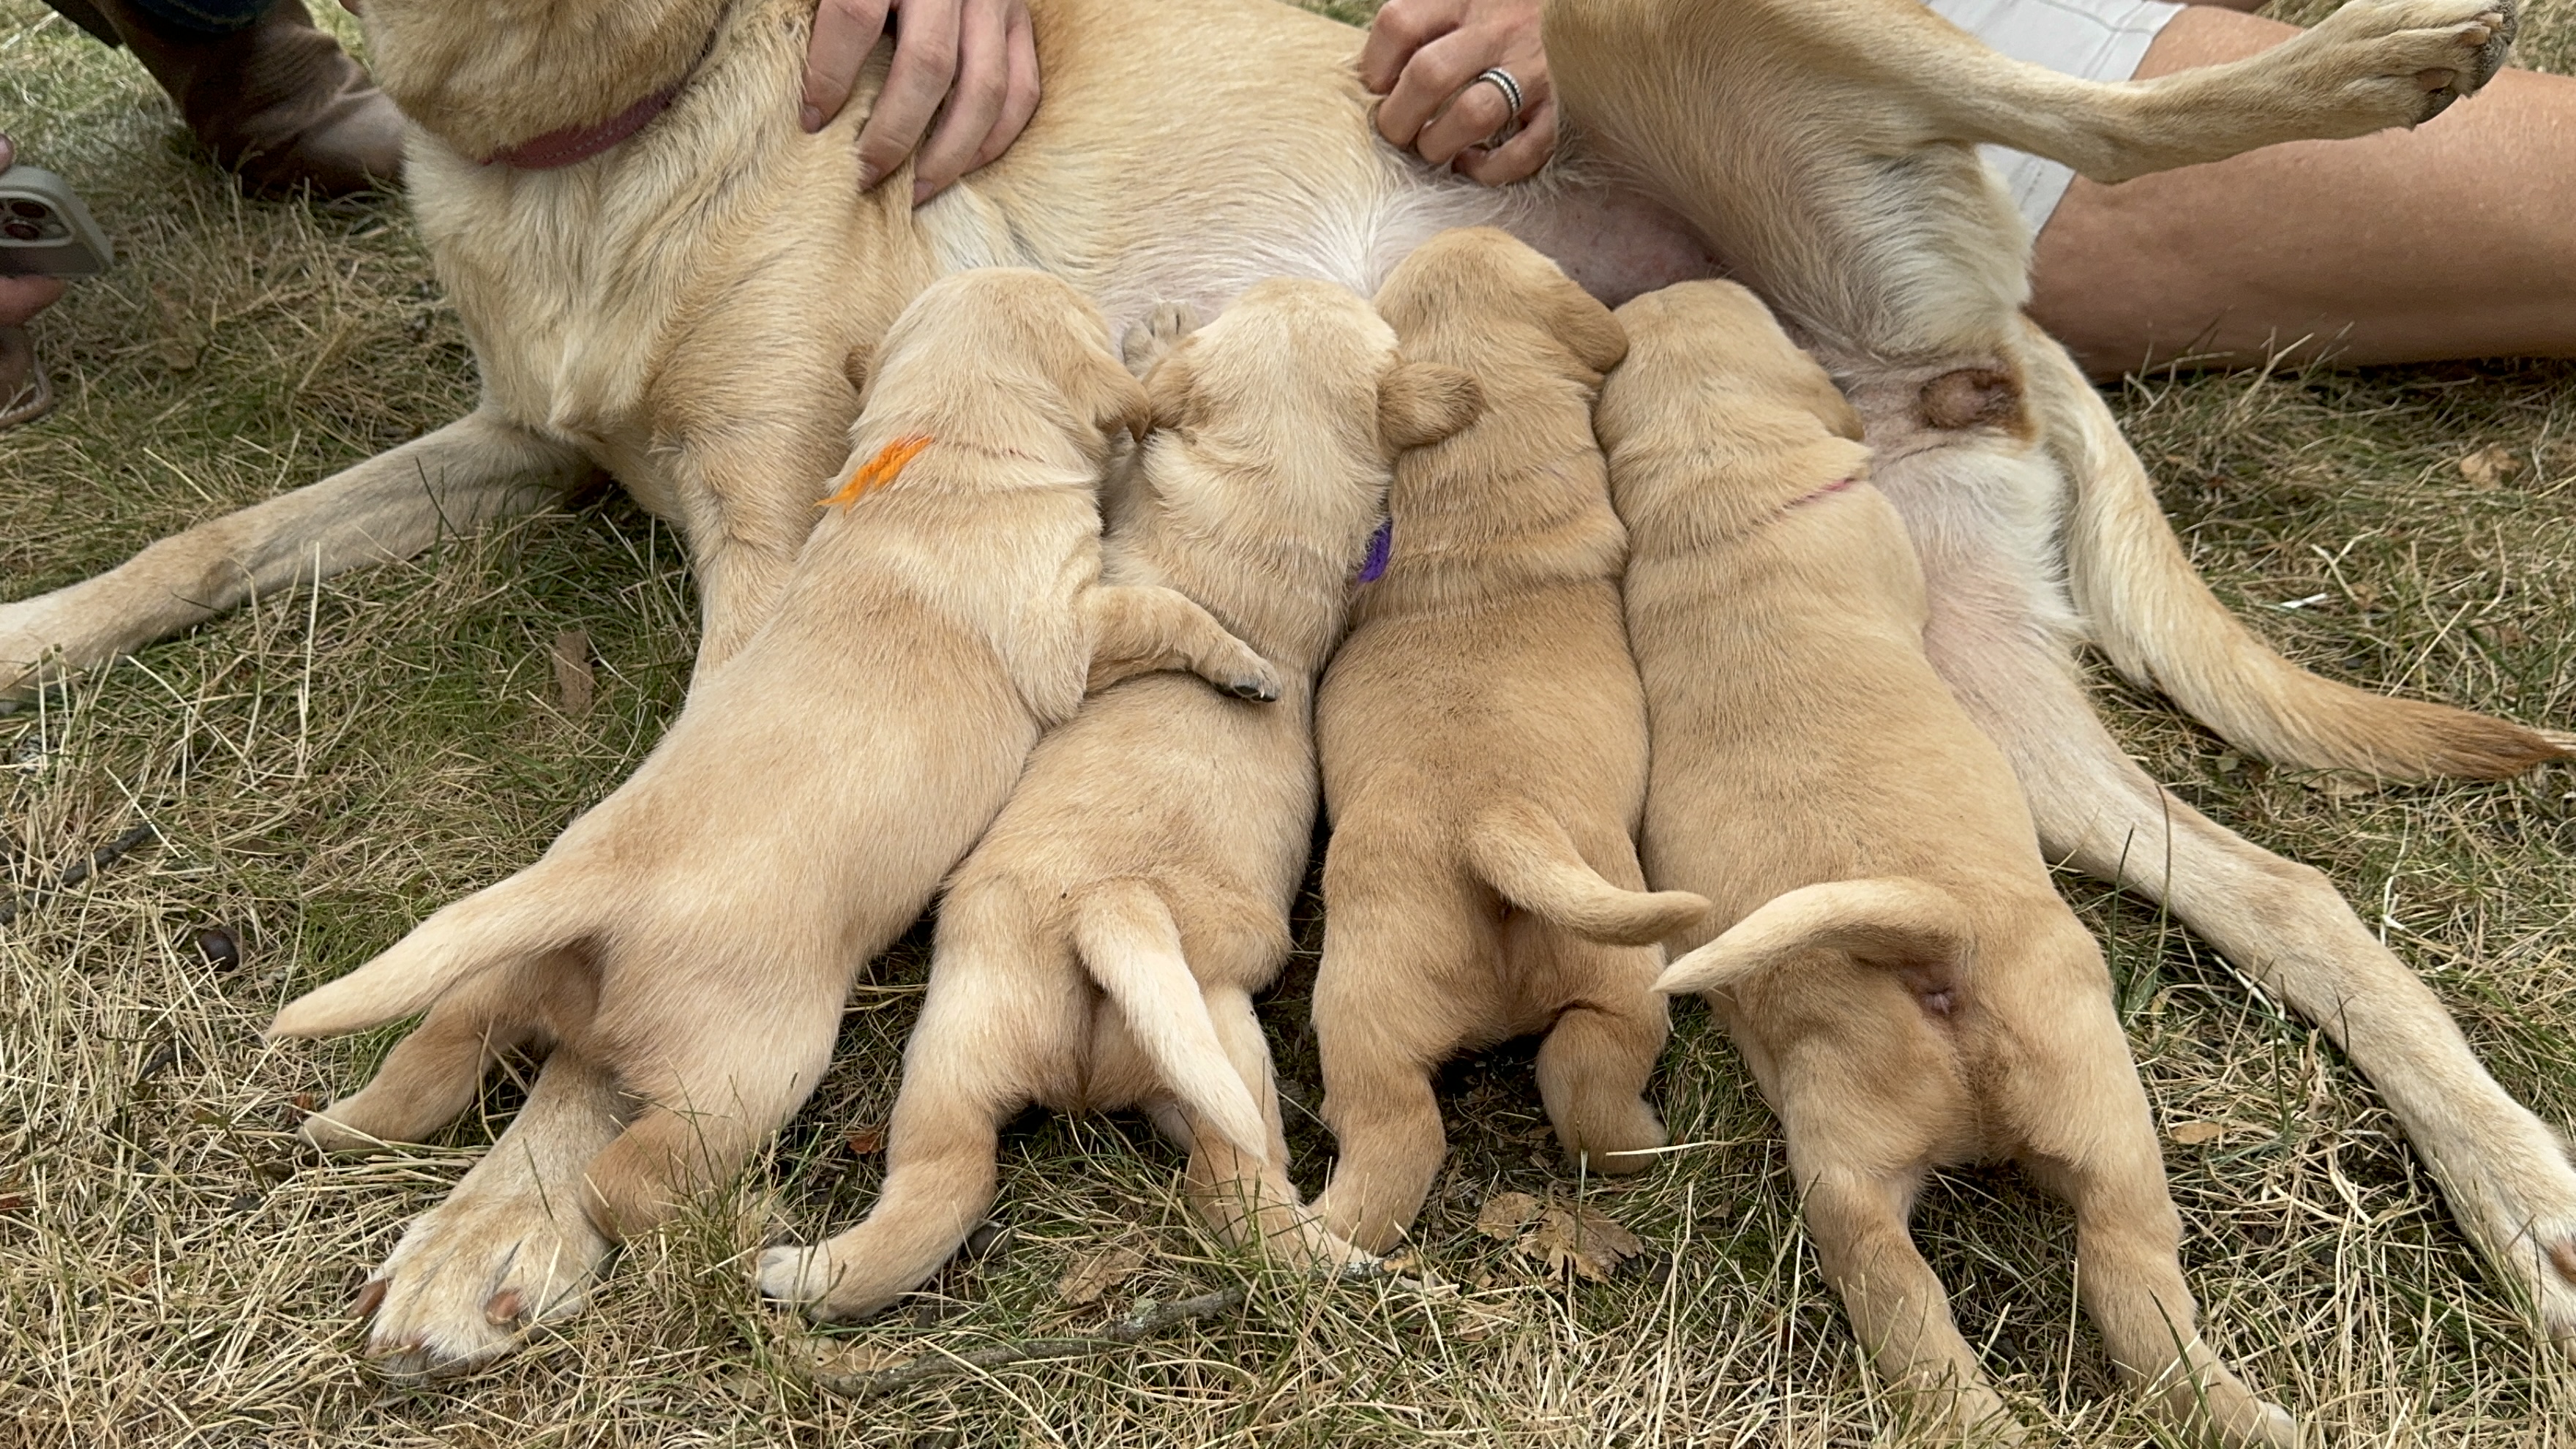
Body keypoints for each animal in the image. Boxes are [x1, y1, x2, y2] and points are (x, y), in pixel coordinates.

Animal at [263, 268, 1277, 1361]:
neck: (939, 454)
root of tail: (591, 887)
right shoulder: (1072, 629)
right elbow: (1164, 608)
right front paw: (1243, 659)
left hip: (498, 984)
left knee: (436, 1055)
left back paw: (335, 1125)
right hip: (751, 1072)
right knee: (621, 1183)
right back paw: (736, 1230)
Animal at [752, 275, 1483, 1314]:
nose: (1288, 276)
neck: (1270, 518)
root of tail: (1114, 908)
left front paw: (1159, 338)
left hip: (959, 1043)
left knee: (945, 1181)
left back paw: (802, 1270)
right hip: (1213, 1054)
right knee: (1235, 1188)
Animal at [1607, 280, 2297, 1443]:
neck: (1723, 502)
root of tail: (1926, 947)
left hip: (1916, 1161)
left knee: (1985, 1314)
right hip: (2068, 1124)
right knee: (2110, 1285)